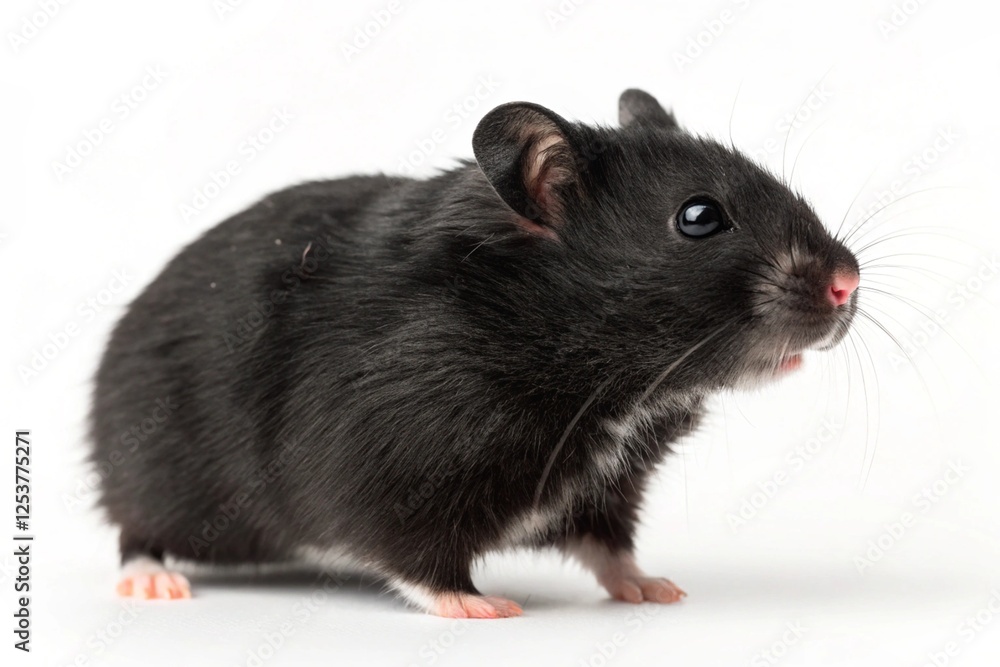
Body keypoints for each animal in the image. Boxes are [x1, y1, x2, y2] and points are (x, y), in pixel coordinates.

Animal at [90, 88, 860, 617]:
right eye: (699, 217)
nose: (848, 283)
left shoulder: (610, 484)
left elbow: (611, 545)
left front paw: (657, 589)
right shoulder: (386, 468)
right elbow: (416, 558)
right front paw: (485, 606)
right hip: (158, 476)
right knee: (133, 530)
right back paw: (155, 583)